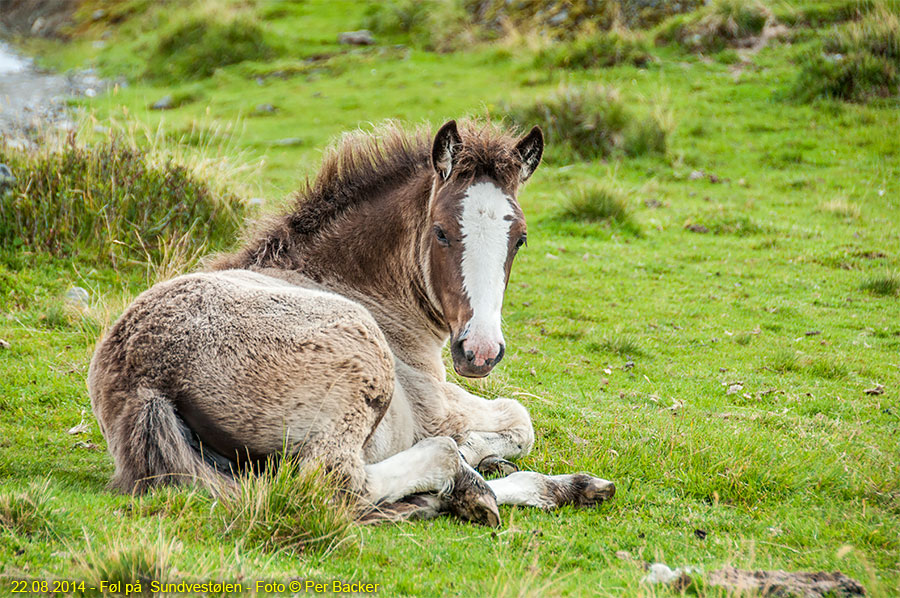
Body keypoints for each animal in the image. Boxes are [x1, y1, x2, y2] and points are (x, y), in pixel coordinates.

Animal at [88, 120, 616, 524]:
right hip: (360, 364)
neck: (358, 285)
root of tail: (143, 378)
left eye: (520, 239)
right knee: (340, 481)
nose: (480, 352)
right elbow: (518, 420)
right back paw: (470, 486)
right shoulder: (435, 405)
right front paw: (474, 454)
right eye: (441, 232)